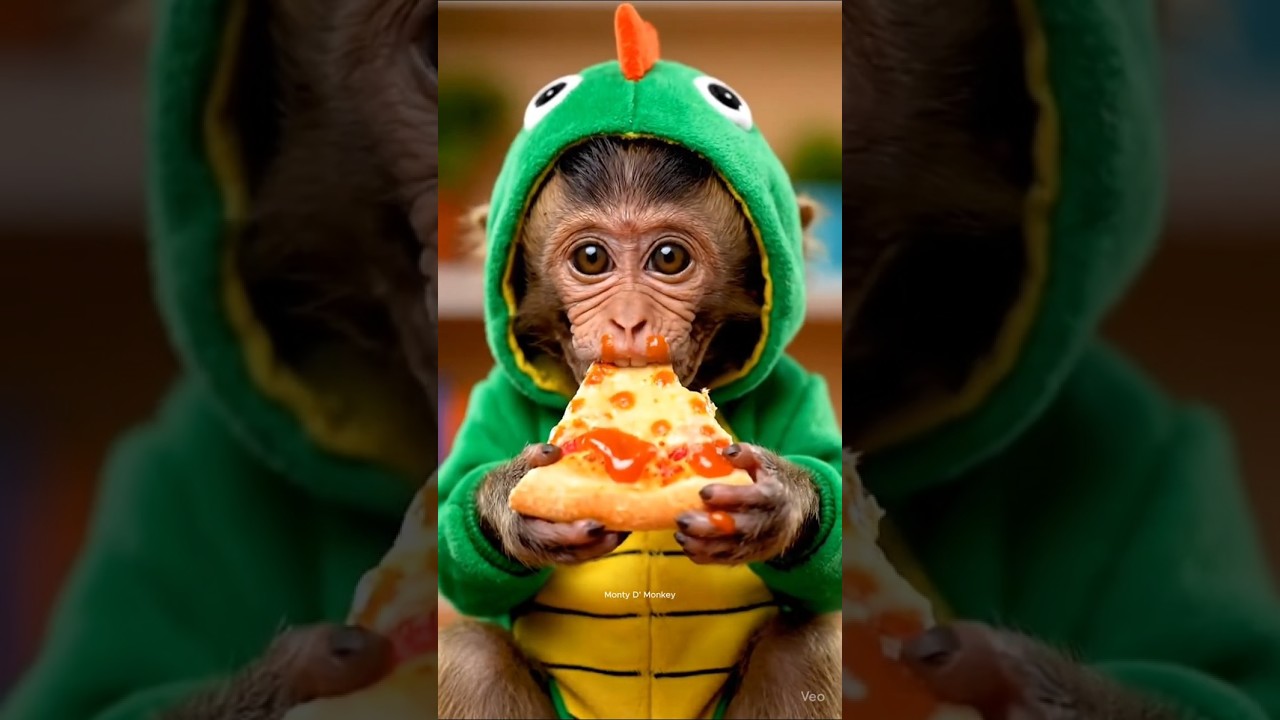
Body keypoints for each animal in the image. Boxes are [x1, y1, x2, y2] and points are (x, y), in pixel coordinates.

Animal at [438, 136, 841, 720]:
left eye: (669, 259)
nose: (629, 320)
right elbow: (451, 552)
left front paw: (780, 500)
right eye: (591, 259)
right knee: (469, 655)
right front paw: (509, 506)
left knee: (809, 646)